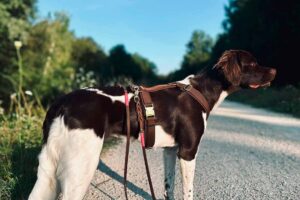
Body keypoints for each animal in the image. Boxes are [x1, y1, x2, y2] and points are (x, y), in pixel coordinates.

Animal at [28, 49, 276, 199]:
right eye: (253, 63)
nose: (275, 70)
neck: (200, 91)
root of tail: (61, 102)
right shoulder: (188, 152)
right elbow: (188, 191)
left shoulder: (171, 150)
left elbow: (169, 186)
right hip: (81, 165)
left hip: (51, 168)